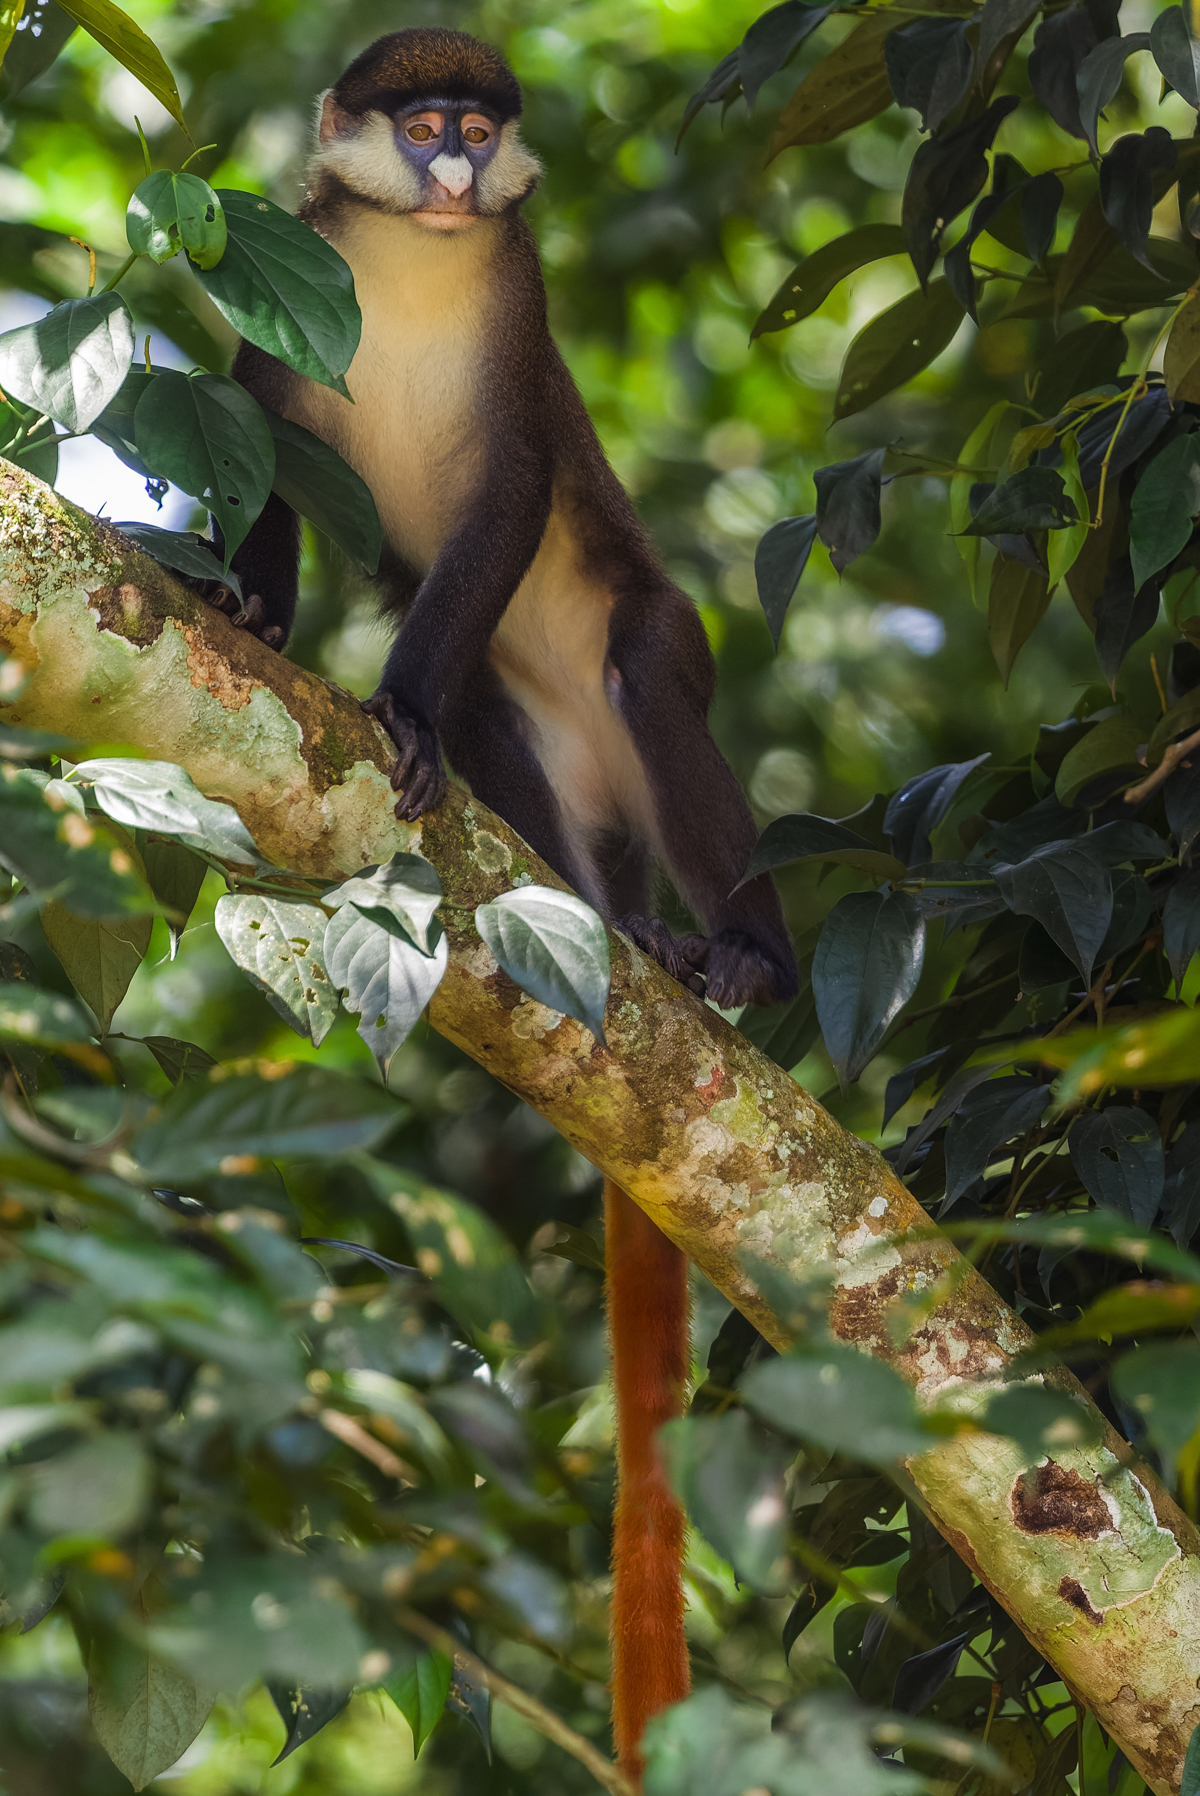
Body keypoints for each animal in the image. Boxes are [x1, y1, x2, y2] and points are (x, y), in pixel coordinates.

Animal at [206, 28, 798, 1777]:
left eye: (478, 125)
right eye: (422, 128)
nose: (461, 166)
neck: (417, 264)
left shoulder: (517, 338)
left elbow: (508, 500)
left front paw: (388, 700)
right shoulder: (294, 277)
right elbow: (279, 455)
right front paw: (250, 607)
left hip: (640, 654)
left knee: (650, 669)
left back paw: (736, 949)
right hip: (548, 778)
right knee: (494, 725)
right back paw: (618, 928)